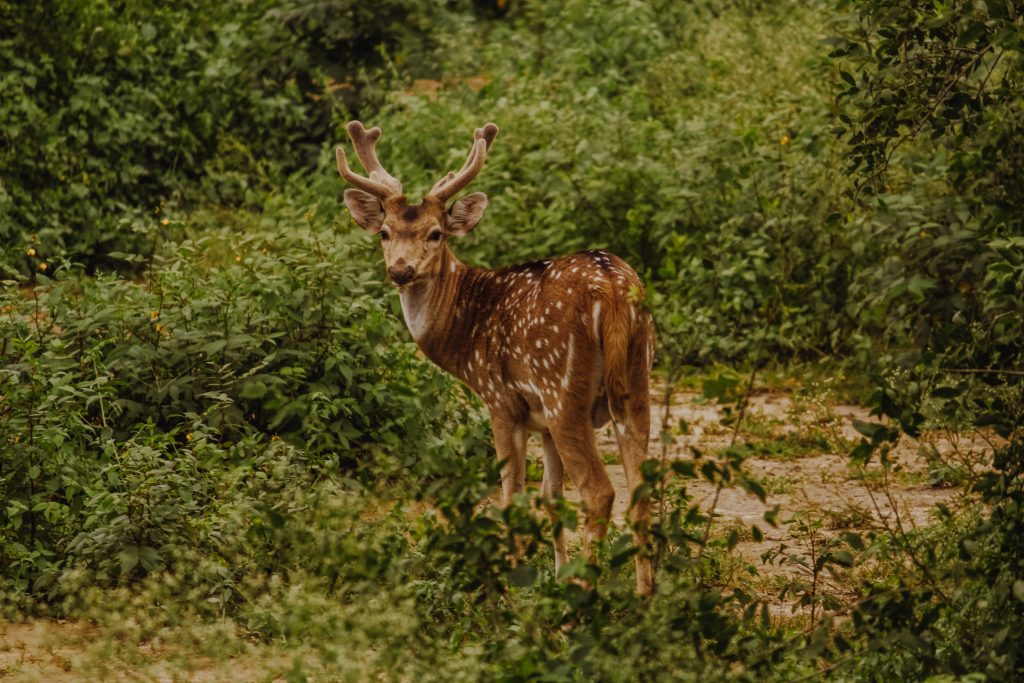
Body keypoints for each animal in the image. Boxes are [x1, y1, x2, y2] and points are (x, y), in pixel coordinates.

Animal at [335, 118, 655, 593]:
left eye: (435, 233)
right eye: (384, 232)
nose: (400, 270)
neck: (466, 333)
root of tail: (614, 291)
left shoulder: (502, 401)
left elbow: (512, 496)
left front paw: (514, 582)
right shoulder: (540, 422)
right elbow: (551, 497)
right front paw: (554, 577)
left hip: (563, 389)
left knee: (600, 492)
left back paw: (587, 596)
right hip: (635, 384)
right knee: (642, 490)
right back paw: (644, 595)